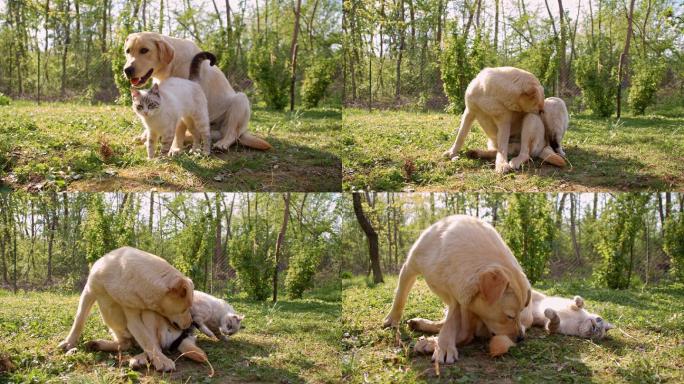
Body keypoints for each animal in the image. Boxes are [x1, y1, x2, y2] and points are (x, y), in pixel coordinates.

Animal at [58, 246, 195, 372]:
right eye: (185, 309)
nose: (190, 324)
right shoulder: (89, 292)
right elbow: (79, 320)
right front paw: (69, 342)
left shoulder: (133, 314)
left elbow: (147, 341)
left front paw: (161, 360)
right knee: (125, 344)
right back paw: (98, 344)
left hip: (149, 315)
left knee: (153, 345)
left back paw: (139, 358)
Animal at [124, 31, 272, 152]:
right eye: (127, 51)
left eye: (144, 50)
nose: (127, 70)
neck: (172, 65)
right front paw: (145, 136)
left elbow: (178, 129)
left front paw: (175, 148)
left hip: (240, 100)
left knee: (232, 134)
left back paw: (222, 143)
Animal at [382, 216, 532, 364]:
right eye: (510, 316)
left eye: (520, 312)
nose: (521, 338)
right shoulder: (409, 268)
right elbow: (400, 296)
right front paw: (392, 319)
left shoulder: (458, 299)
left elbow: (451, 325)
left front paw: (444, 346)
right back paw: (420, 325)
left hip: (470, 308)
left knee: (465, 335)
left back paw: (430, 342)